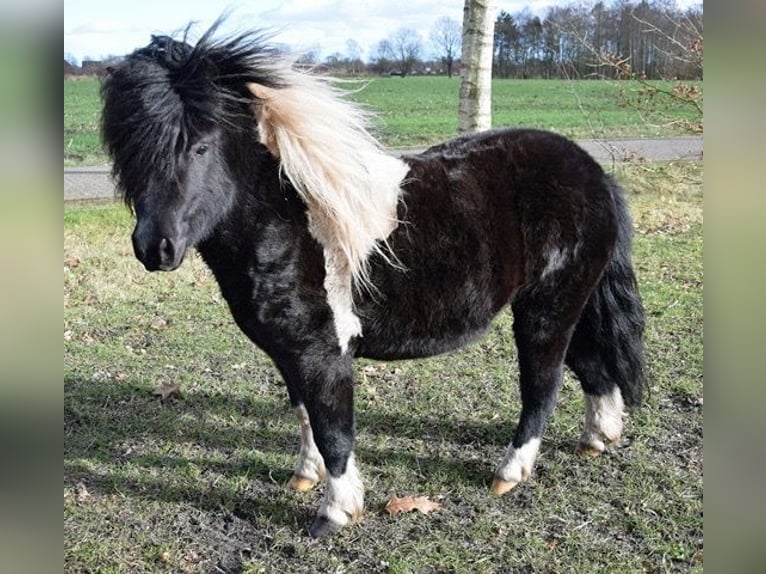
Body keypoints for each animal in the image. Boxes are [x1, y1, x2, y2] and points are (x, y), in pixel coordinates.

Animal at [99, 25, 644, 540]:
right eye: (127, 150)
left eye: (200, 145)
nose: (155, 248)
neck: (294, 218)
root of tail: (593, 172)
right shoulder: (289, 352)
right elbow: (306, 417)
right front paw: (306, 476)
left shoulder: (323, 352)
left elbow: (334, 430)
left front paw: (336, 512)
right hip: (569, 304)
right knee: (594, 370)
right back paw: (598, 439)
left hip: (548, 308)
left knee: (542, 384)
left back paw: (510, 473)